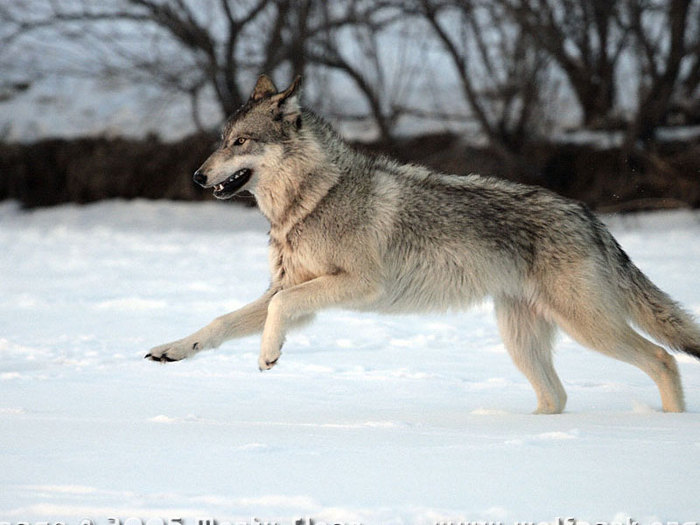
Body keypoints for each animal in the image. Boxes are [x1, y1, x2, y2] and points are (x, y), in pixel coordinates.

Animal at [144, 73, 700, 412]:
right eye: (221, 140)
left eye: (241, 142)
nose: (196, 176)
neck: (311, 200)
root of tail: (589, 216)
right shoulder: (291, 289)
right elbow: (220, 322)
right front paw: (174, 349)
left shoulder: (351, 286)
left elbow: (279, 310)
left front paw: (267, 354)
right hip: (523, 339)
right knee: (558, 397)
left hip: (587, 327)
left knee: (663, 359)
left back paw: (668, 425)